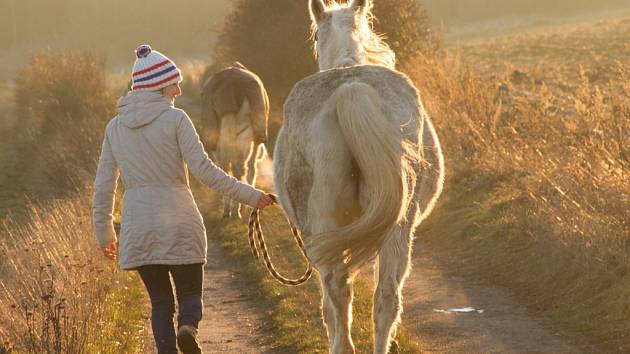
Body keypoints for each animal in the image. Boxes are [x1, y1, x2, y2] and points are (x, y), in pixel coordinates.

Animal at [274, 1, 446, 352]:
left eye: (315, 37)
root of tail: (349, 91)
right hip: (400, 224)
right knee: (387, 297)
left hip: (322, 227)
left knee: (337, 291)